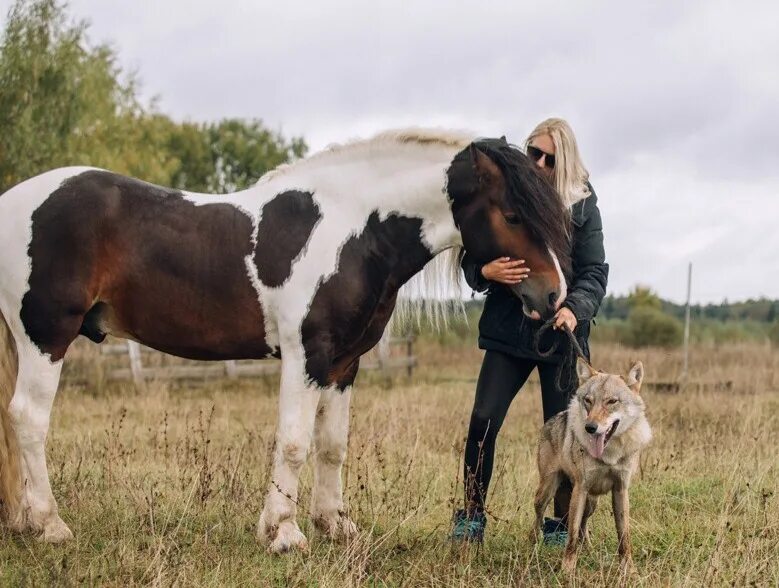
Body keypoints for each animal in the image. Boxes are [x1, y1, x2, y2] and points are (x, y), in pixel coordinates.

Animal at [0, 127, 572, 552]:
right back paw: (50, 525)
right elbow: (295, 442)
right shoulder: (306, 357)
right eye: (513, 214)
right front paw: (283, 532)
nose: (553, 296)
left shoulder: (343, 364)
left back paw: (24, 521)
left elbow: (332, 446)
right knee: (28, 419)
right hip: (45, 336)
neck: (353, 229)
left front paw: (334, 525)